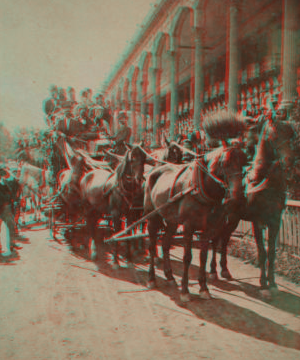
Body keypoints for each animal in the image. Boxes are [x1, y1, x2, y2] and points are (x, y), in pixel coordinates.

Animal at [144, 141, 247, 300]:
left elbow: (203, 257)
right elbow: (187, 257)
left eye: (244, 162)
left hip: (172, 221)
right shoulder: (188, 227)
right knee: (151, 245)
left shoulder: (209, 229)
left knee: (166, 244)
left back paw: (169, 276)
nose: (238, 195)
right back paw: (151, 278)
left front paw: (204, 288)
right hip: (152, 217)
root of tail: (153, 170)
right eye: (225, 162)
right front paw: (185, 290)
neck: (200, 188)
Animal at [209, 119, 298, 300]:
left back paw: (225, 270)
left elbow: (271, 252)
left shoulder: (275, 221)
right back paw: (213, 271)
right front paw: (263, 285)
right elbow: (262, 252)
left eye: (291, 134)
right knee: (215, 239)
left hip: (233, 219)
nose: (290, 161)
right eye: (275, 135)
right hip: (220, 216)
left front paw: (273, 284)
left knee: (225, 239)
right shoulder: (258, 221)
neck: (264, 182)